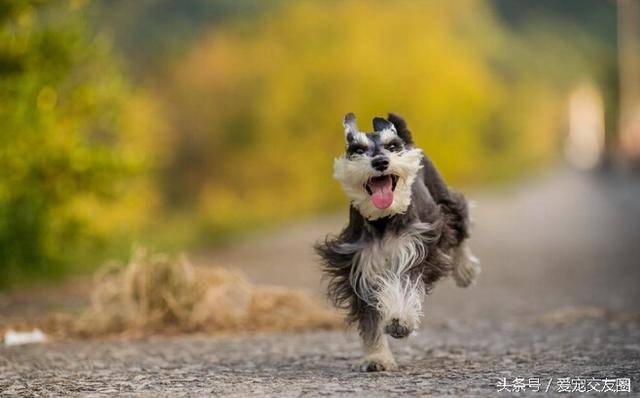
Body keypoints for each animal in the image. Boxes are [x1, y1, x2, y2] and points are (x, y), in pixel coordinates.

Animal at [316, 111, 480, 370]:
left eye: (391, 147)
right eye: (358, 149)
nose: (381, 162)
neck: (383, 219)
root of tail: (408, 141)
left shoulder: (415, 251)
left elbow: (404, 286)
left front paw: (400, 321)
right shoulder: (360, 266)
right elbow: (370, 318)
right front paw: (376, 357)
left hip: (443, 199)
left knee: (460, 221)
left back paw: (465, 271)